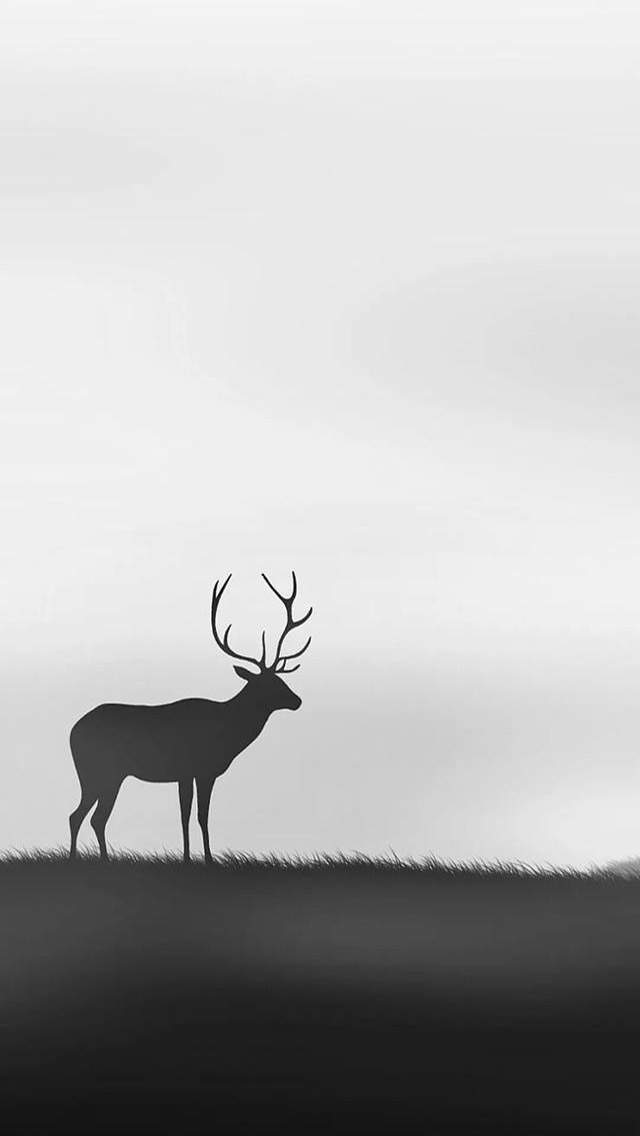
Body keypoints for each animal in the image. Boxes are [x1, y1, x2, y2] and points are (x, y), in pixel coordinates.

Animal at [69, 572, 312, 862]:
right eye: (267, 684)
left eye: (281, 679)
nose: (297, 700)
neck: (226, 733)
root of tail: (72, 732)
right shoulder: (200, 769)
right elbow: (199, 815)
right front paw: (206, 858)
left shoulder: (188, 774)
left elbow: (186, 815)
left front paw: (189, 856)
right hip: (103, 772)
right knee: (92, 817)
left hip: (96, 776)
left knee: (81, 816)